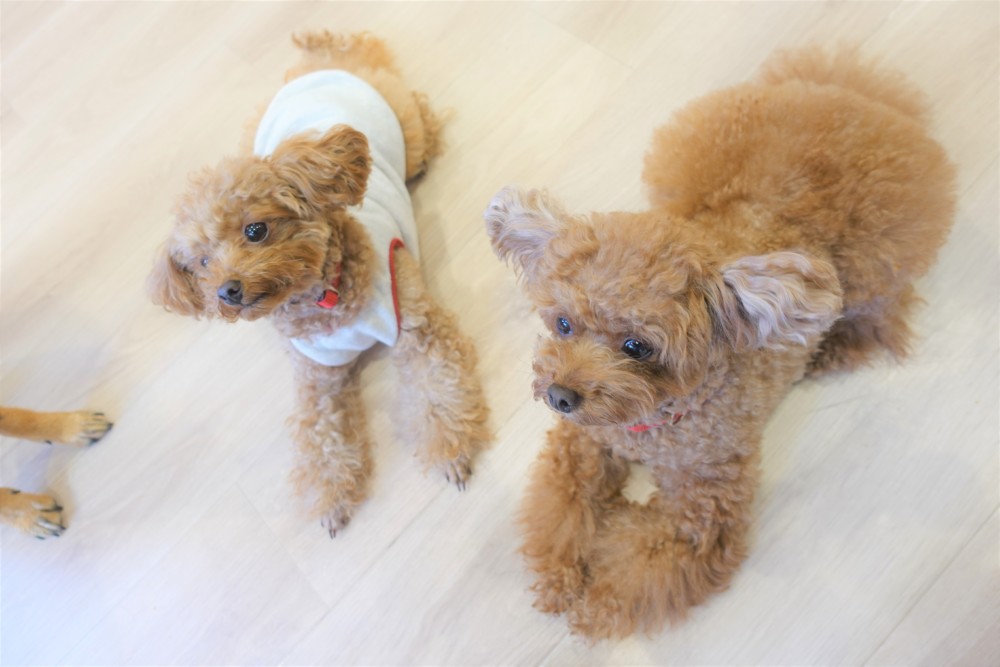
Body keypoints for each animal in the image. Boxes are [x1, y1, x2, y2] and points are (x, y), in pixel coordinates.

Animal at [149, 32, 490, 537]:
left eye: (256, 230)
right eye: (202, 263)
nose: (228, 291)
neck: (324, 299)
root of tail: (322, 61)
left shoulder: (417, 327)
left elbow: (437, 389)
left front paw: (451, 453)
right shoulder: (318, 375)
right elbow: (321, 436)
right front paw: (330, 499)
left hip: (405, 124)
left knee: (422, 123)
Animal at [485, 46, 956, 639]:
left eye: (637, 346)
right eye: (564, 324)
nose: (560, 397)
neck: (653, 426)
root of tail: (854, 96)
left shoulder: (704, 510)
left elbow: (644, 571)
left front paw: (593, 607)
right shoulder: (585, 447)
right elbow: (562, 509)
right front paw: (559, 578)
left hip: (874, 265)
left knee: (880, 318)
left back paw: (829, 350)